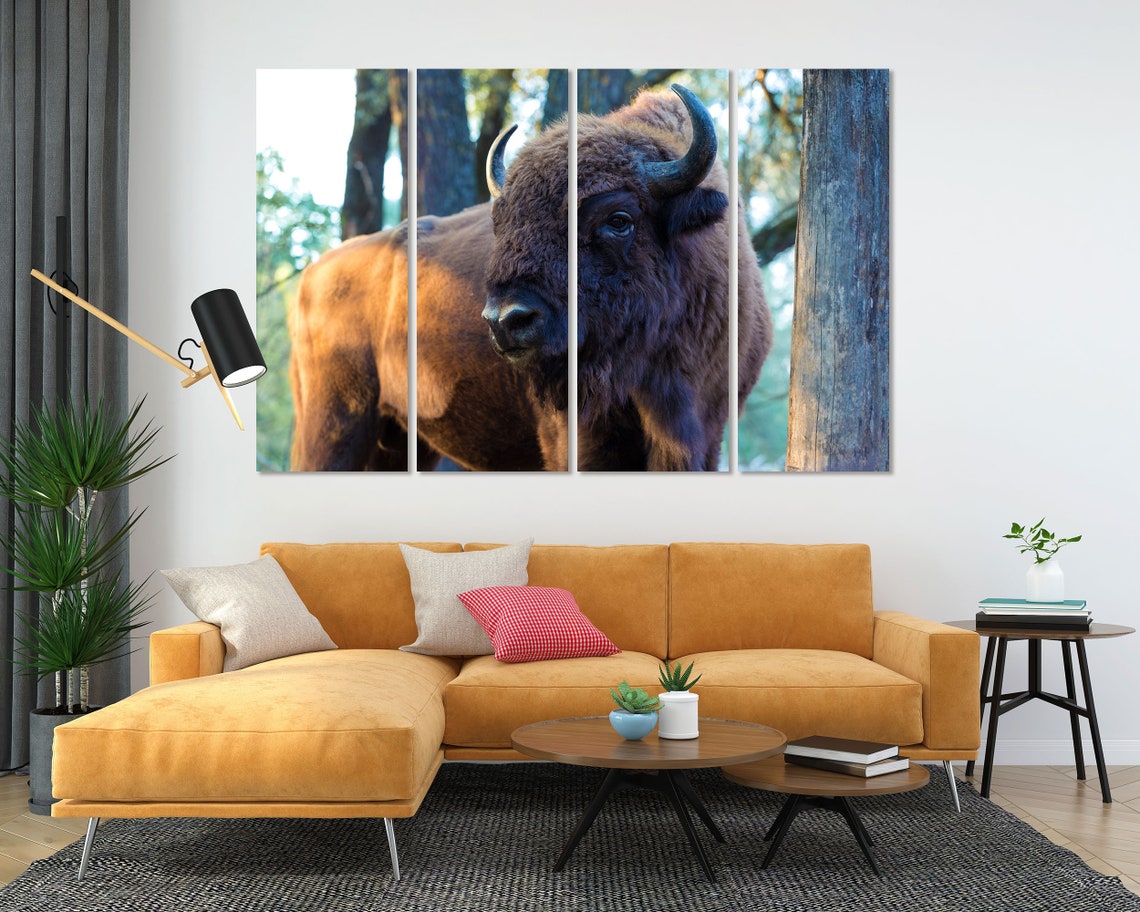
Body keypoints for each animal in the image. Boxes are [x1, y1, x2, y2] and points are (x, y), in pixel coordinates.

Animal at [289, 84, 771, 472]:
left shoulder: (706, 432)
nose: (506, 321)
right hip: (334, 425)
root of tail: (310, 278)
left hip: (401, 439)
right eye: (501, 224)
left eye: (618, 219)